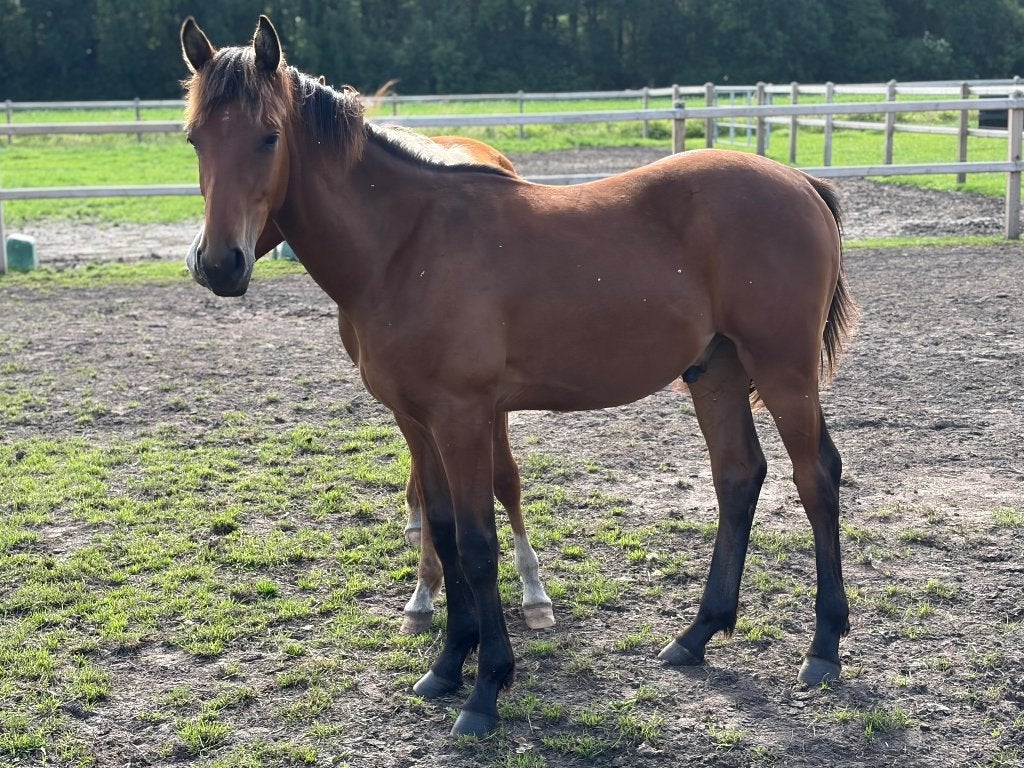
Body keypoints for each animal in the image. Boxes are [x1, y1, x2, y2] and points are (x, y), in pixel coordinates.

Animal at [180, 15, 858, 737]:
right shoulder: (415, 419)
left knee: (816, 479)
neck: (405, 244)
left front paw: (485, 689)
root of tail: (801, 184)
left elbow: (478, 544)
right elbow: (443, 532)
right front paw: (448, 665)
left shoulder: (463, 417)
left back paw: (823, 649)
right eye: (195, 137)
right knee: (737, 477)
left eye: (268, 135)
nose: (219, 264)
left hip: (783, 370)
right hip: (716, 374)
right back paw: (696, 635)